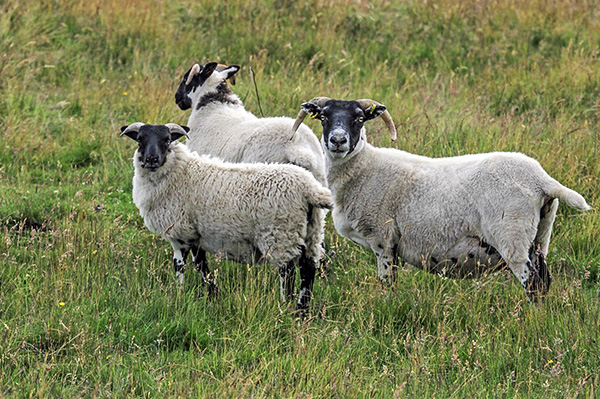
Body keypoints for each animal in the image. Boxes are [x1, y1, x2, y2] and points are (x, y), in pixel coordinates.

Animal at [121, 123, 332, 310]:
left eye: (166, 140)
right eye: (140, 139)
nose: (151, 159)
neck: (179, 172)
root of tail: (309, 188)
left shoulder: (180, 233)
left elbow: (180, 266)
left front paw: (179, 295)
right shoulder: (196, 234)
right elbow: (201, 266)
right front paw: (213, 293)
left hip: (280, 234)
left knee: (287, 272)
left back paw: (285, 306)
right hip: (312, 231)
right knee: (308, 269)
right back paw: (301, 310)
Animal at [290, 98, 592, 302]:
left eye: (359, 119)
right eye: (324, 117)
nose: (337, 141)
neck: (364, 168)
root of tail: (542, 180)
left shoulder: (383, 239)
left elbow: (387, 283)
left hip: (513, 235)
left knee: (532, 283)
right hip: (540, 237)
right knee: (544, 280)